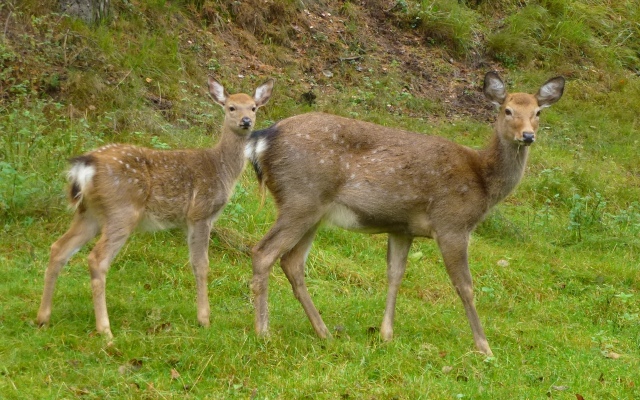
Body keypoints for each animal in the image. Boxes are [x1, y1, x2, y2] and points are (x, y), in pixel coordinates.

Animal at [36, 76, 274, 338]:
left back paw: (42, 318)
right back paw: (105, 331)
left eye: (253, 107)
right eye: (231, 107)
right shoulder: (201, 212)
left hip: (89, 213)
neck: (221, 169)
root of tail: (86, 166)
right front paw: (204, 319)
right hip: (122, 211)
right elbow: (201, 265)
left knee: (59, 248)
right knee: (96, 259)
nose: (246, 121)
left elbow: (193, 263)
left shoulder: (188, 221)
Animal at [248, 72, 564, 356]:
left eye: (537, 112)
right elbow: (465, 286)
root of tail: (261, 141)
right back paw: (263, 332)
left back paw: (324, 331)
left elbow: (395, 275)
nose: (528, 135)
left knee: (292, 262)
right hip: (301, 197)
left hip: (314, 211)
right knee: (263, 252)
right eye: (508, 110)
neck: (482, 182)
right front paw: (484, 347)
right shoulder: (452, 222)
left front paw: (386, 334)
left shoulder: (402, 228)